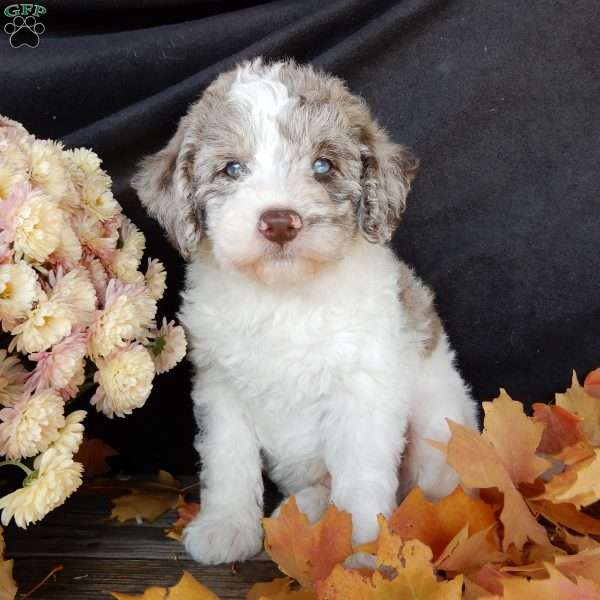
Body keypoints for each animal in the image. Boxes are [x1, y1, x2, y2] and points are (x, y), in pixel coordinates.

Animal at [132, 58, 478, 564]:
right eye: (232, 169)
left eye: (323, 166)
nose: (279, 222)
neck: (284, 296)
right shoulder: (221, 388)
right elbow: (228, 460)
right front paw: (226, 526)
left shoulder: (363, 391)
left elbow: (361, 479)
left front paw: (360, 551)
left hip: (441, 425)